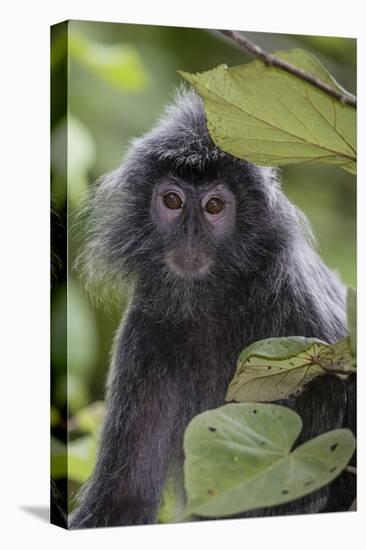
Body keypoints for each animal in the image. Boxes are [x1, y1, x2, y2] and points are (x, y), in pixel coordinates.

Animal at [68, 90, 354, 532]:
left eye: (214, 206)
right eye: (173, 201)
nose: (191, 233)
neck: (213, 303)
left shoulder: (309, 322)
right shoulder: (144, 327)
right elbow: (123, 500)